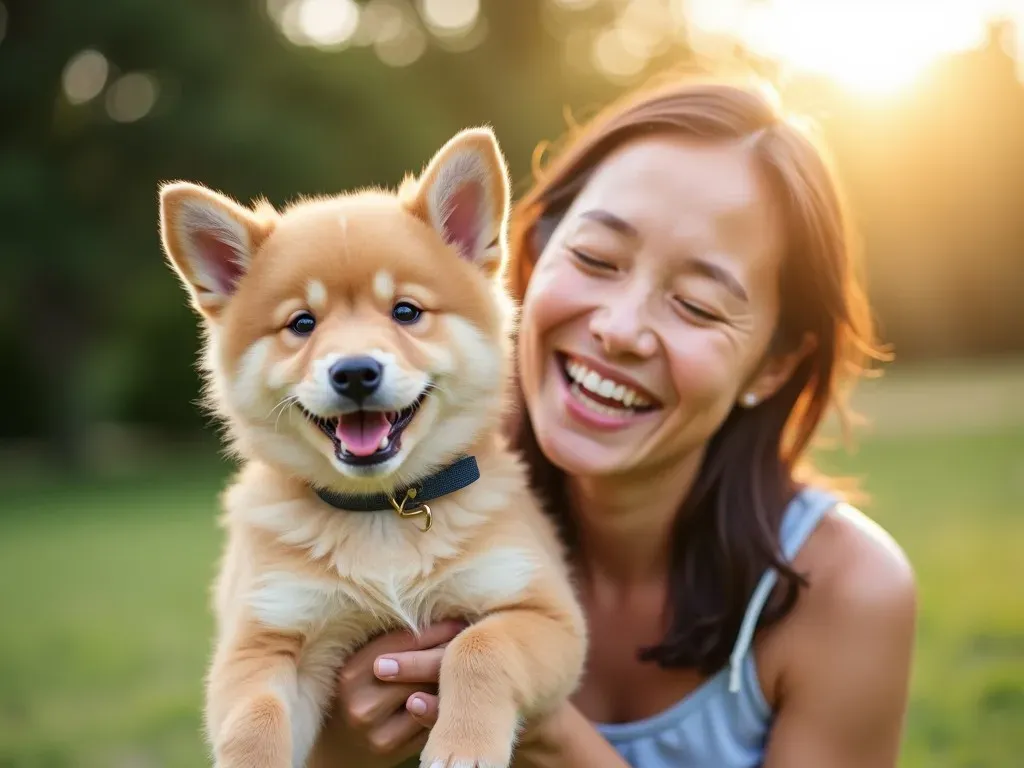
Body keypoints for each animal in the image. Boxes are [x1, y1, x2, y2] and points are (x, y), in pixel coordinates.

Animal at [160, 128, 593, 768]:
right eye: (302, 323)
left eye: (406, 311)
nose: (355, 372)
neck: (381, 513)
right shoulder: (267, 635)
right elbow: (253, 720)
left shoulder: (542, 611)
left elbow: (479, 648)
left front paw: (462, 746)